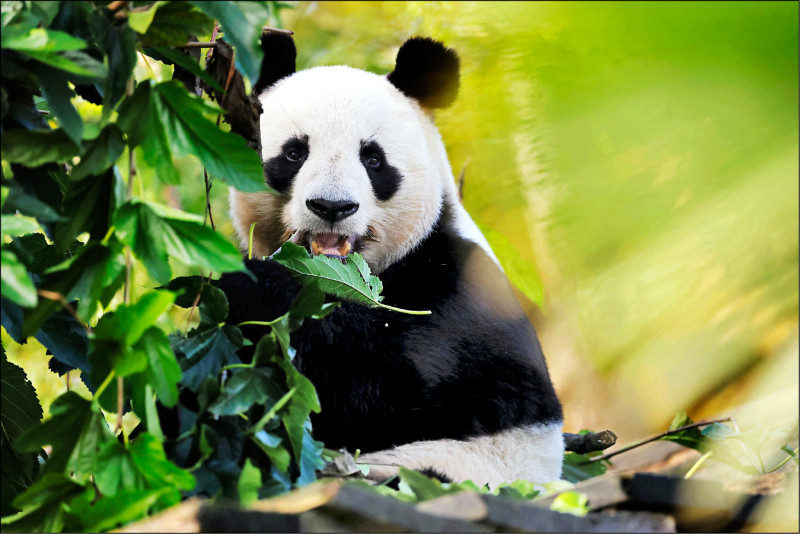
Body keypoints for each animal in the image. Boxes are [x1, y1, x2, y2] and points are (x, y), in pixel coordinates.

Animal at [217, 34, 564, 487]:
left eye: (373, 159)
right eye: (294, 153)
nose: (332, 206)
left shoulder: (456, 290)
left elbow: (396, 392)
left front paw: (252, 286)